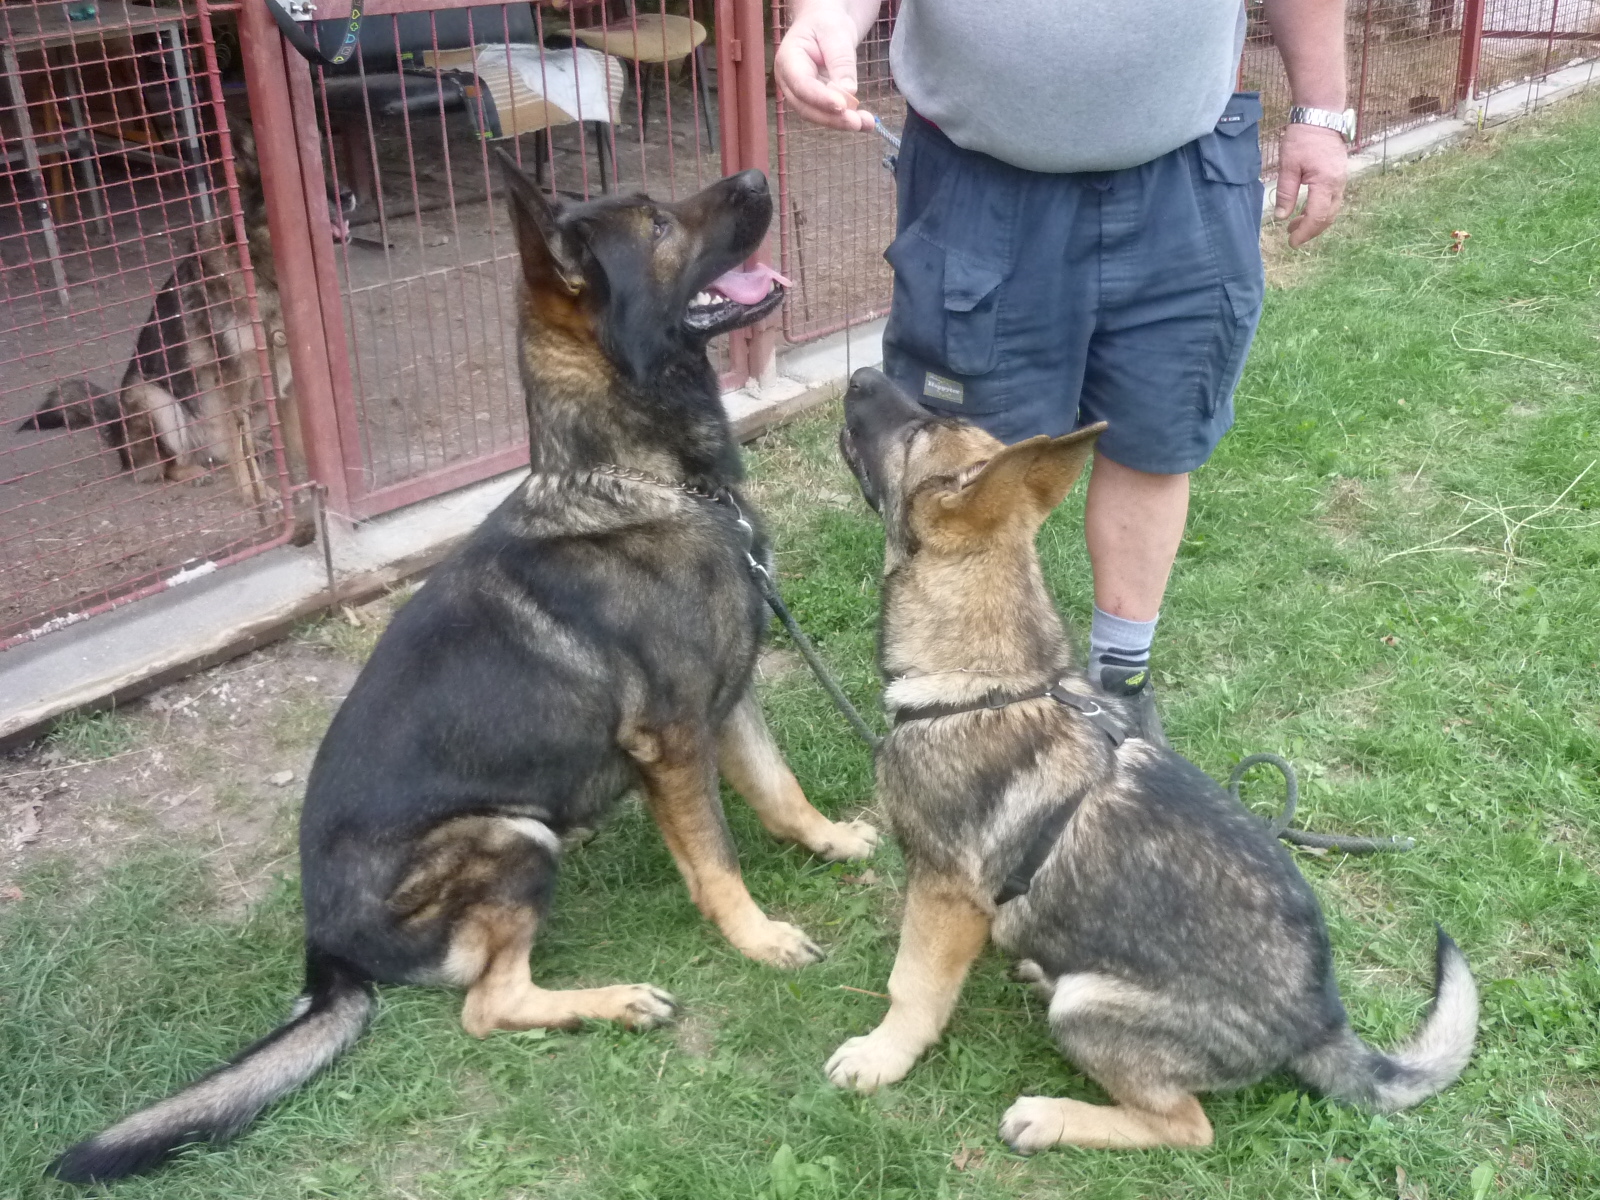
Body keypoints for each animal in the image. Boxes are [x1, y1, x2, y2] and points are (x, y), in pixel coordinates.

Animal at [16, 111, 354, 507]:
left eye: (325, 165)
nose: (347, 196)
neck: (263, 271)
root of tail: (116, 430)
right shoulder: (230, 386)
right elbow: (241, 453)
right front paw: (258, 493)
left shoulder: (290, 377)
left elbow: (301, 443)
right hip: (154, 399)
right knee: (163, 467)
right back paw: (192, 472)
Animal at [50, 156, 875, 1184]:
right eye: (655, 224)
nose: (762, 174)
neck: (635, 480)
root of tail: (324, 949)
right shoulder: (676, 739)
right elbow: (717, 858)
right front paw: (758, 936)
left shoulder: (729, 702)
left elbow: (779, 789)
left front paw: (831, 840)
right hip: (511, 836)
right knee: (488, 1006)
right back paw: (613, 1001)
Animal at [825, 367, 1477, 1152]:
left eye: (920, 428)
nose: (861, 374)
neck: (987, 682)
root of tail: (1322, 1022)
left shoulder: (944, 894)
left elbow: (912, 985)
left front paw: (882, 1056)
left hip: (1089, 1009)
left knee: (1187, 1128)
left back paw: (1050, 1116)